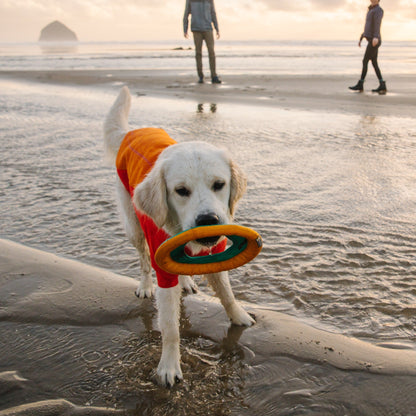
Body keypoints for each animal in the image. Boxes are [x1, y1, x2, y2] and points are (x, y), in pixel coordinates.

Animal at [103, 87, 254, 386]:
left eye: (219, 184)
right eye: (181, 191)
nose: (208, 221)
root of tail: (131, 132)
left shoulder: (217, 252)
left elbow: (227, 293)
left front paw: (239, 316)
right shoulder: (164, 267)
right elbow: (170, 327)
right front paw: (169, 366)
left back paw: (186, 282)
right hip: (133, 226)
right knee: (143, 259)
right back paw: (145, 285)